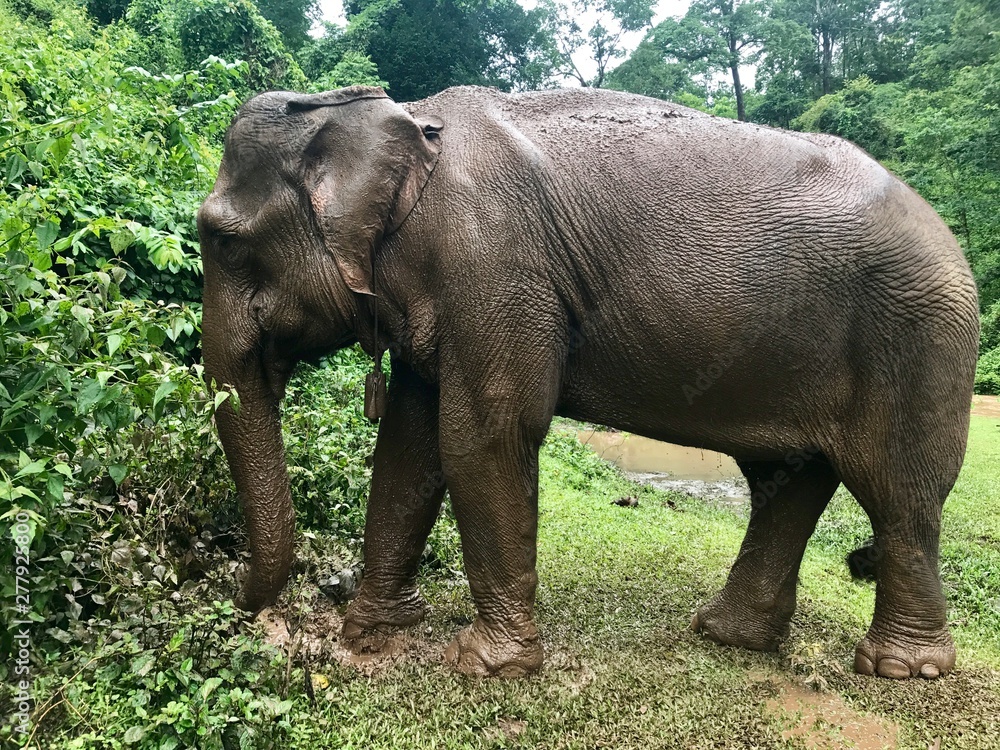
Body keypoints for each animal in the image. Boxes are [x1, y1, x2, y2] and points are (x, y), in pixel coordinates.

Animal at [197, 85, 979, 680]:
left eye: (224, 240)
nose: (233, 594)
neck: (399, 119)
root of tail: (949, 236)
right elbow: (408, 446)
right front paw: (370, 636)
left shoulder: (498, 270)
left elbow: (484, 434)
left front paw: (484, 668)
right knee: (787, 482)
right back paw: (726, 635)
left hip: (916, 341)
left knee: (899, 496)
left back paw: (901, 669)